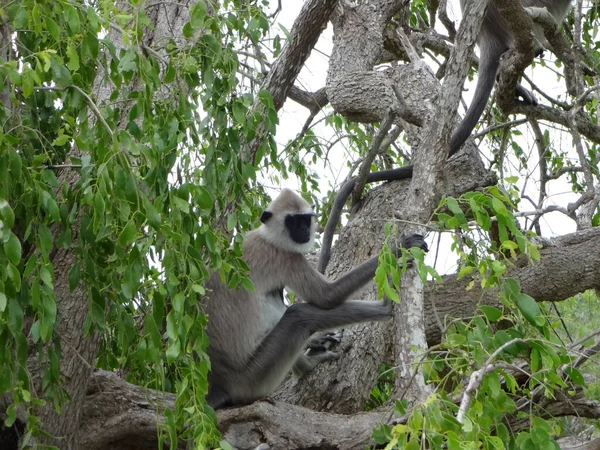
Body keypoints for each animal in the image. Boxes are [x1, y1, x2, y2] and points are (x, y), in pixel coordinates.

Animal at [204, 188, 428, 410]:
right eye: (293, 221)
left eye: (305, 219)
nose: (304, 230)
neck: (266, 236)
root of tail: (220, 382)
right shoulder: (284, 256)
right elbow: (327, 297)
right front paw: (397, 249)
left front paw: (316, 339)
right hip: (253, 377)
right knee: (299, 314)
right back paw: (384, 308)